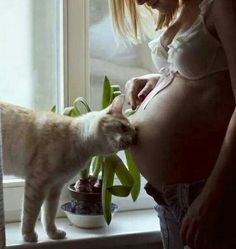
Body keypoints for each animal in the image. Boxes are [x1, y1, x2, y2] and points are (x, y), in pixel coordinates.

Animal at [0, 95, 136, 241]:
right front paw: (28, 235)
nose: (130, 142)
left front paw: (53, 234)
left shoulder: (55, 187)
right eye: (123, 127)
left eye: (133, 137)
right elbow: (30, 213)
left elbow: (49, 213)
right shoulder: (37, 183)